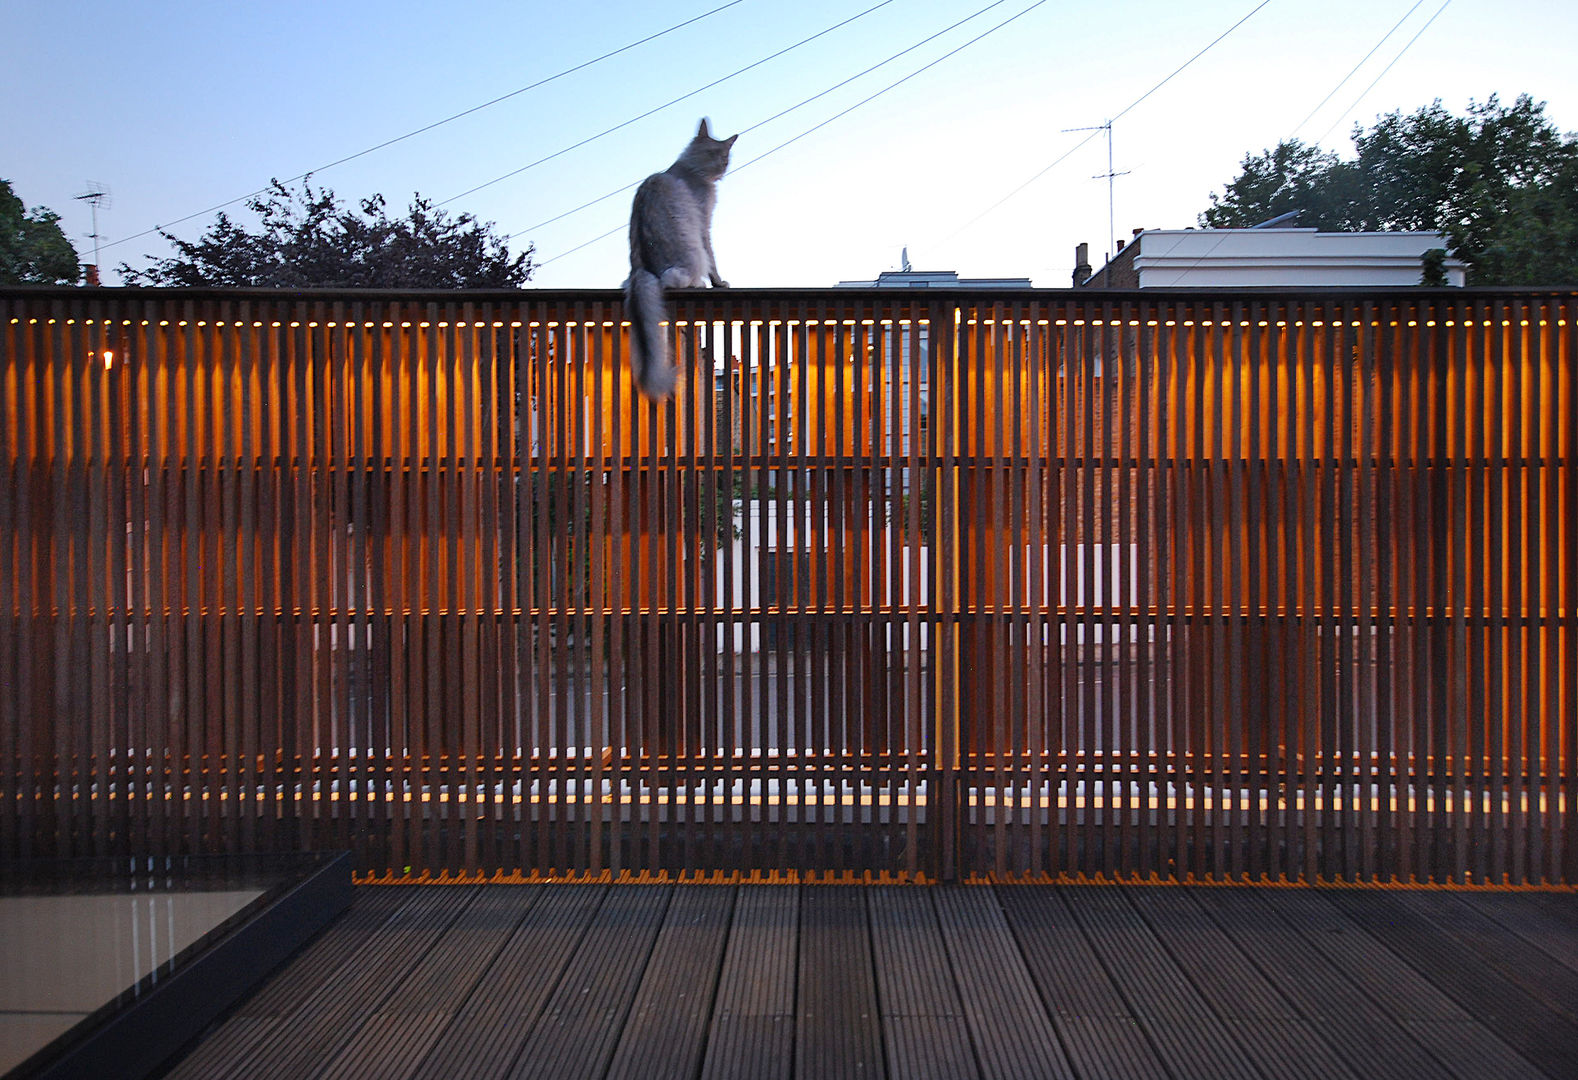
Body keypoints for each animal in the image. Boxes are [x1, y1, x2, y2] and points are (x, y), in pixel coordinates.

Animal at [624, 118, 735, 402]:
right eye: (720, 156)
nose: (721, 168)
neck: (691, 169)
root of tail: (641, 270)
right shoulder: (704, 224)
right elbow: (713, 259)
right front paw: (718, 282)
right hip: (689, 254)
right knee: (675, 280)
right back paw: (699, 284)